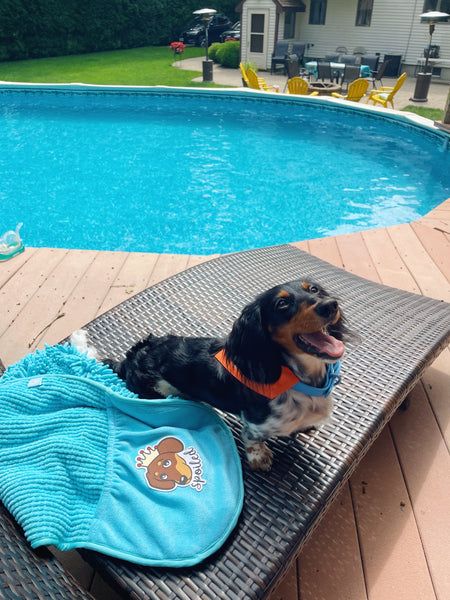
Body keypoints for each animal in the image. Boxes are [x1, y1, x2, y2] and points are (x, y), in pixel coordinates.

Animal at [93, 278, 350, 472]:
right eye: (282, 303)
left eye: (314, 289)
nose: (330, 305)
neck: (299, 381)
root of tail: (131, 357)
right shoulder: (254, 423)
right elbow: (252, 439)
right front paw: (260, 458)